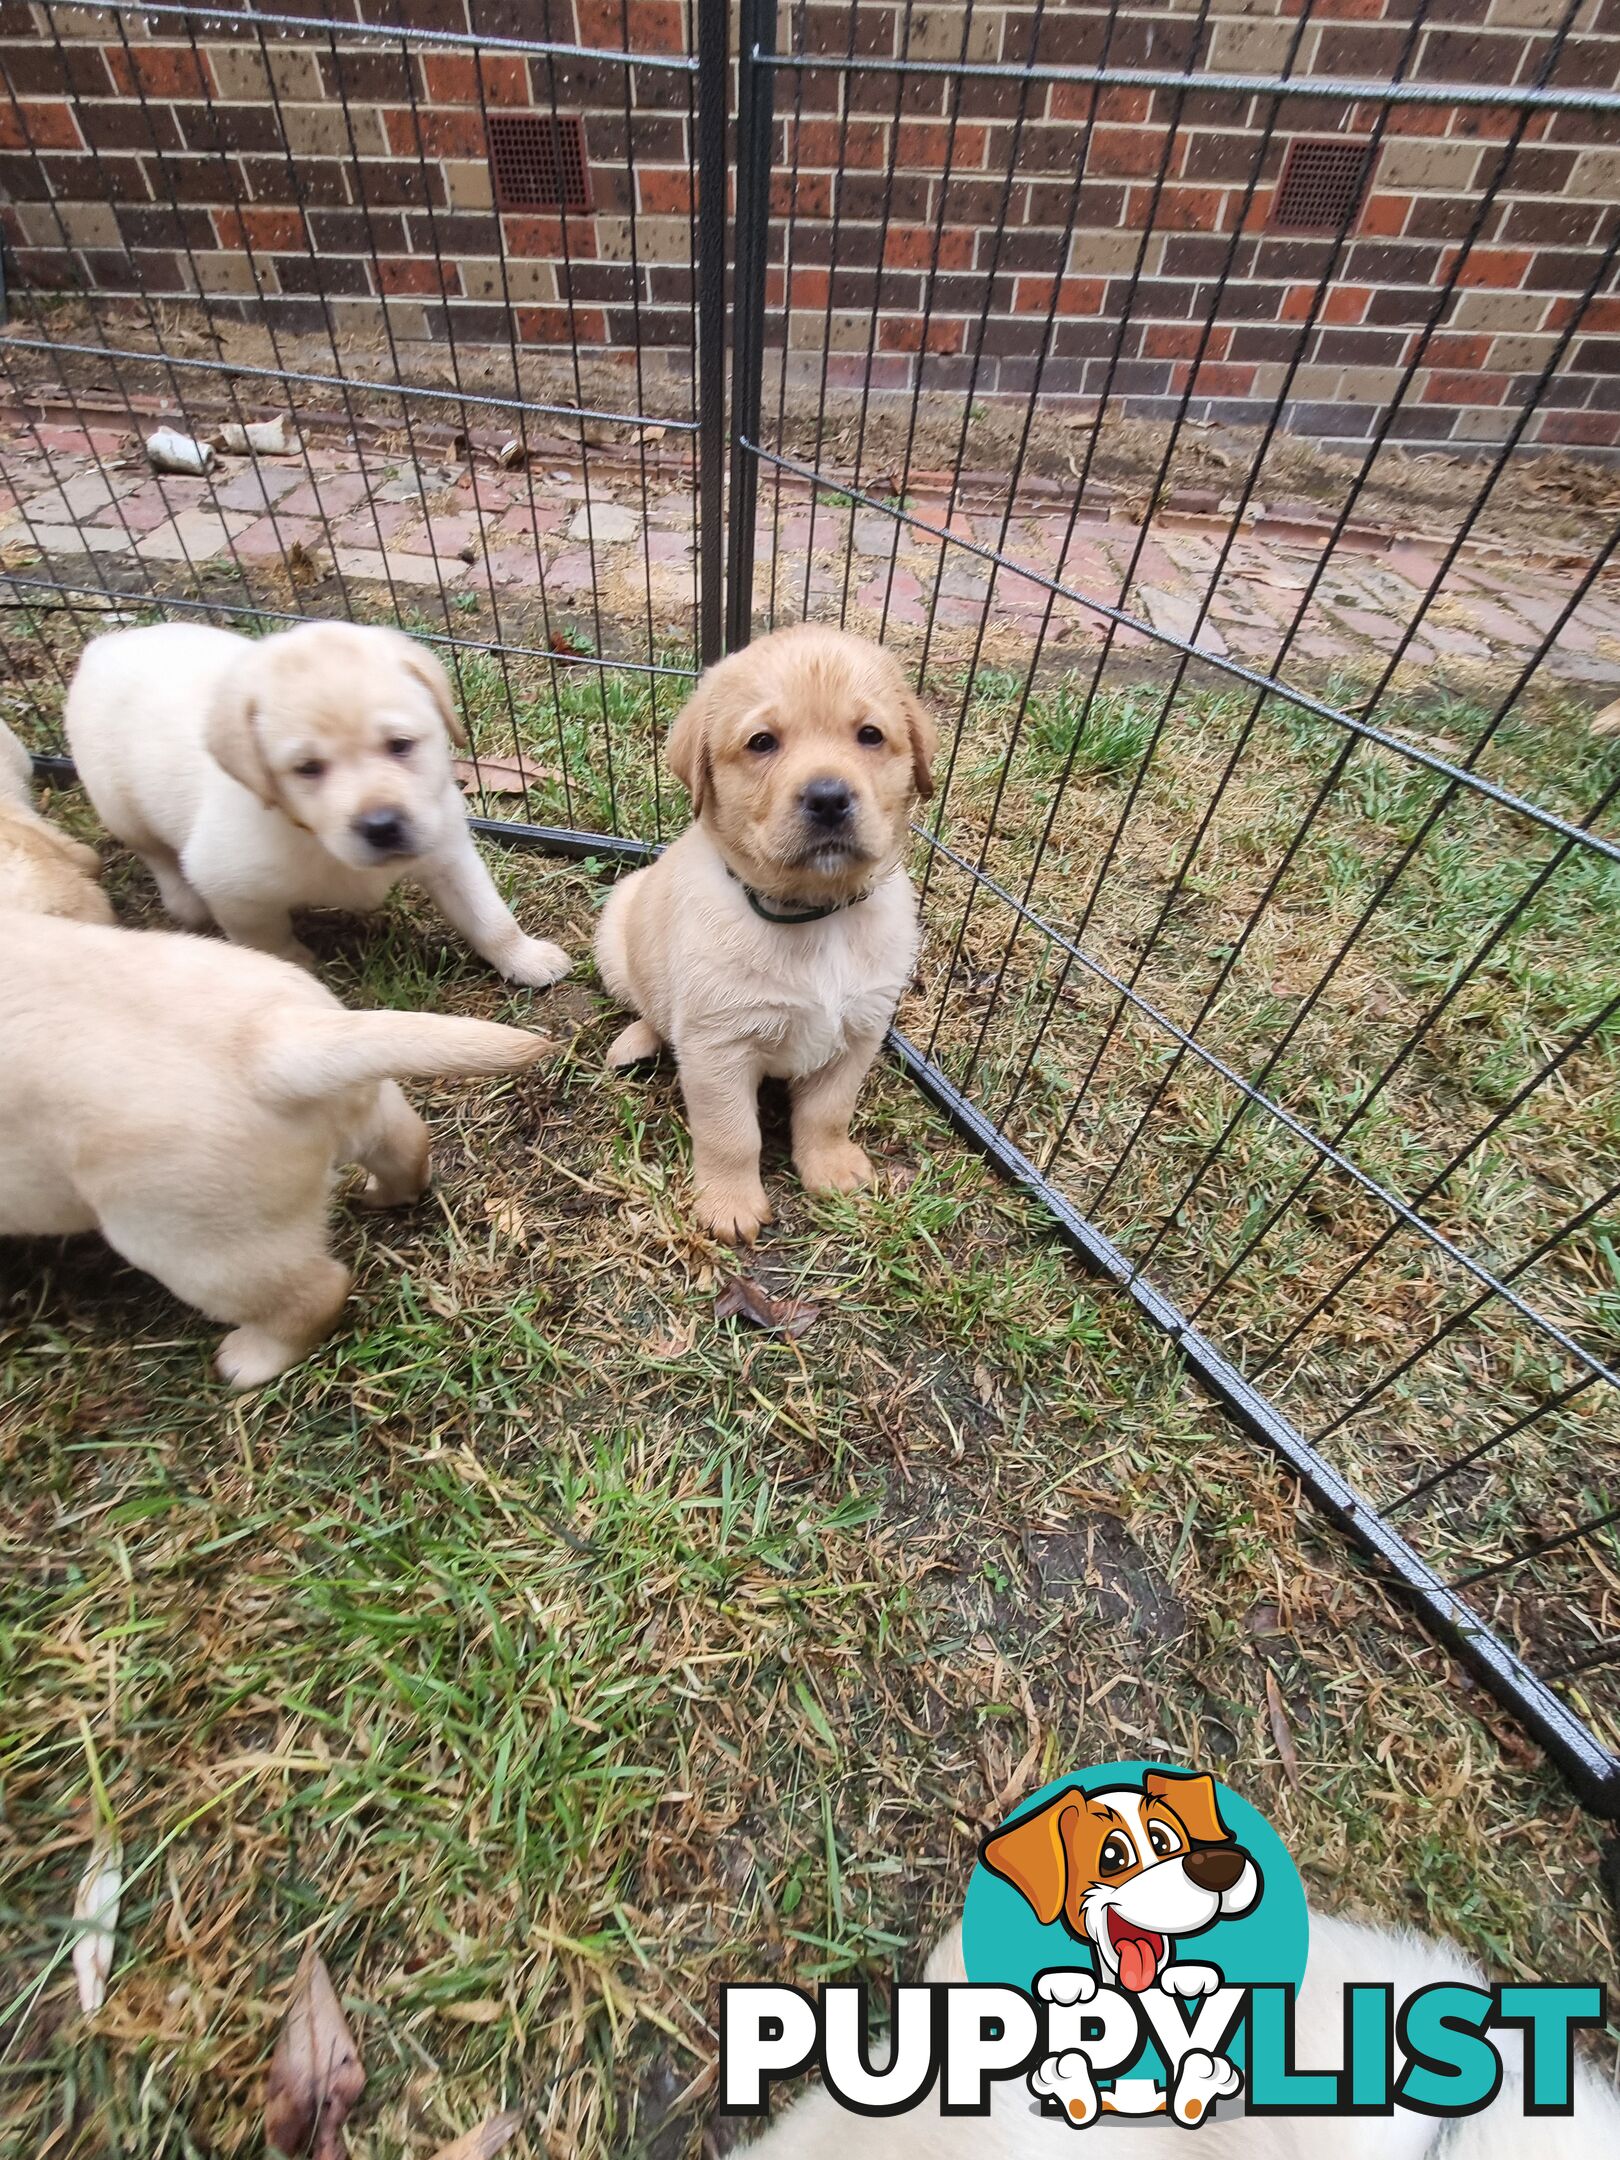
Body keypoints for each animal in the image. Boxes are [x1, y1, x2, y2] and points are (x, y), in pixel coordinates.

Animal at [0, 907, 552, 1382]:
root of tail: (269, 1042)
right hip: (366, 1108)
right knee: (407, 1148)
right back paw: (379, 1196)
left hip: (195, 1241)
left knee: (313, 1293)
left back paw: (245, 1362)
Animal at [69, 617, 578, 989]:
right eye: (307, 768)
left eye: (400, 745)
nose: (382, 825)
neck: (313, 837)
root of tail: (104, 645)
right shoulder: (231, 887)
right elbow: (264, 939)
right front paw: (292, 964)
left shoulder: (447, 850)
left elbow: (489, 917)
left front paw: (526, 958)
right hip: (118, 804)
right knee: (154, 852)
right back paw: (183, 898)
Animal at [600, 617, 937, 1244]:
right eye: (762, 743)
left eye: (871, 735)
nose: (828, 797)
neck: (817, 916)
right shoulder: (717, 1048)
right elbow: (732, 1135)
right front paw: (729, 1205)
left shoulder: (861, 1030)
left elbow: (828, 1112)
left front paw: (830, 1168)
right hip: (617, 924)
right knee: (647, 1006)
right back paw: (636, 1040)